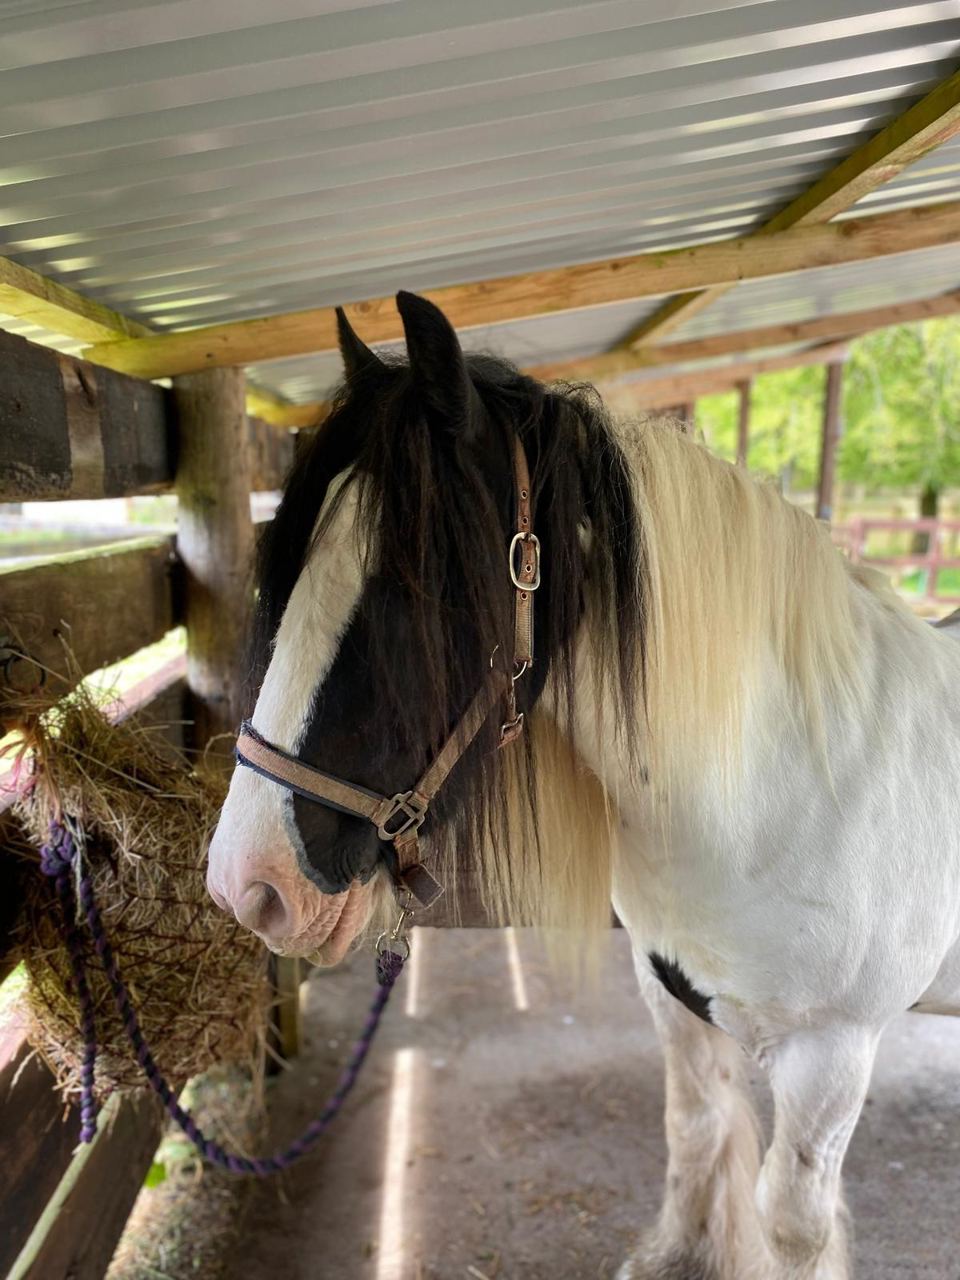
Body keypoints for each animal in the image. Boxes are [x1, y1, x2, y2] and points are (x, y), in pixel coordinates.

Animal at [207, 290, 960, 1280]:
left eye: (423, 588)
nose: (248, 886)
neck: (792, 791)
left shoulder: (832, 1055)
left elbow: (792, 1224)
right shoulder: (672, 995)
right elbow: (693, 1129)